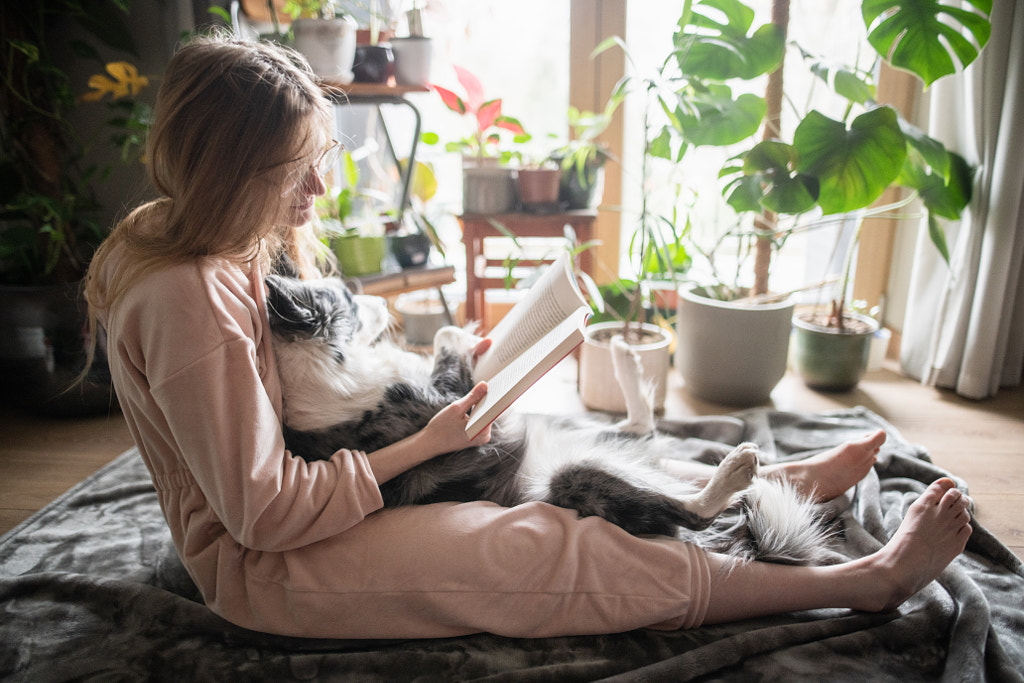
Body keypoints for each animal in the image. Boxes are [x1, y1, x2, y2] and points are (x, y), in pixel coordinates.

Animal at [264, 274, 831, 565]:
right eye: (349, 299)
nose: (385, 303)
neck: (326, 365)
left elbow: (447, 335)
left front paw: (477, 336)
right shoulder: (451, 409)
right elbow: (448, 344)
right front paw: (469, 334)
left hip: (583, 436)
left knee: (641, 428)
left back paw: (624, 354)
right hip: (574, 477)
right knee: (692, 507)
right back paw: (733, 472)